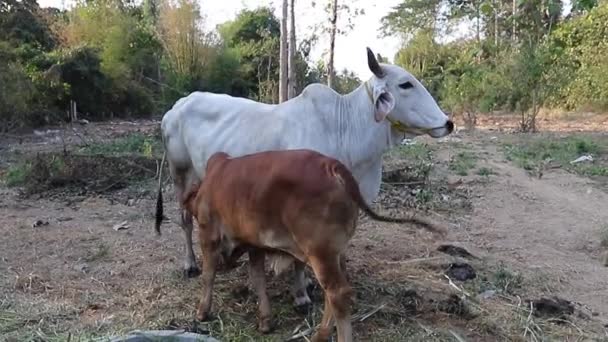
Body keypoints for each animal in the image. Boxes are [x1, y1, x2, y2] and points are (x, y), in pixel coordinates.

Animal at [154, 48, 454, 310]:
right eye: (405, 84)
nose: (448, 123)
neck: (345, 130)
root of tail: (177, 106)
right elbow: (297, 256)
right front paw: (301, 295)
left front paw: (310, 283)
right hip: (179, 173)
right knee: (185, 219)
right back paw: (190, 264)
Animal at [179, 150, 442, 342]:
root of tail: (332, 165)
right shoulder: (255, 245)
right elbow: (258, 280)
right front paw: (265, 321)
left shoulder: (208, 235)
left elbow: (208, 275)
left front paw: (202, 311)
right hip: (334, 252)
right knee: (334, 292)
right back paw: (320, 334)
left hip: (319, 252)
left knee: (338, 293)